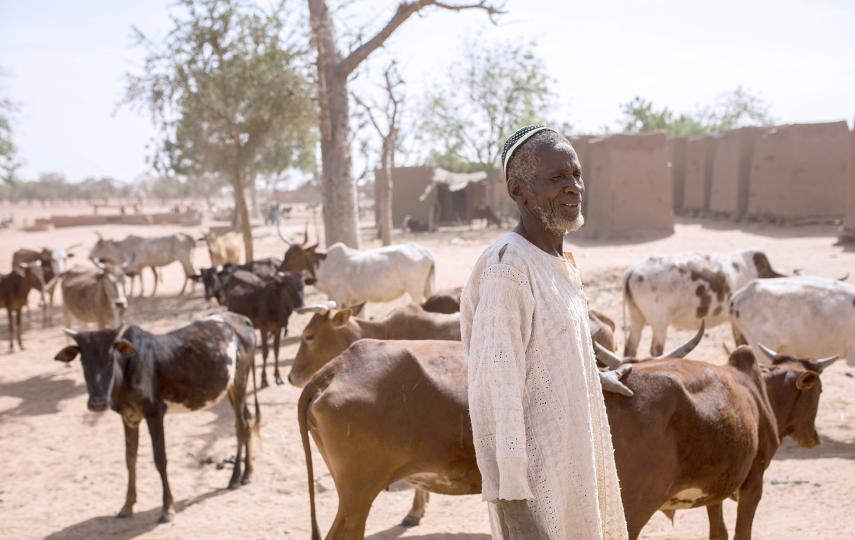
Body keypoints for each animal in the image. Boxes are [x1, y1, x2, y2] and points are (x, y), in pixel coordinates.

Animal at [54, 312, 260, 524]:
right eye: (83, 362)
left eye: (111, 359)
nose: (98, 403)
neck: (127, 369)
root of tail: (241, 319)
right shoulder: (129, 418)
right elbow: (130, 459)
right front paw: (127, 506)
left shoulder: (155, 413)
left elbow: (160, 459)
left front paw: (167, 508)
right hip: (231, 388)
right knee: (248, 421)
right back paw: (247, 473)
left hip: (240, 380)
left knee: (240, 426)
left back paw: (235, 478)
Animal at [300, 340, 836, 536]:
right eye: (816, 391)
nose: (813, 439)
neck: (753, 390)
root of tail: (334, 367)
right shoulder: (752, 483)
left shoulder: (717, 492)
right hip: (358, 492)